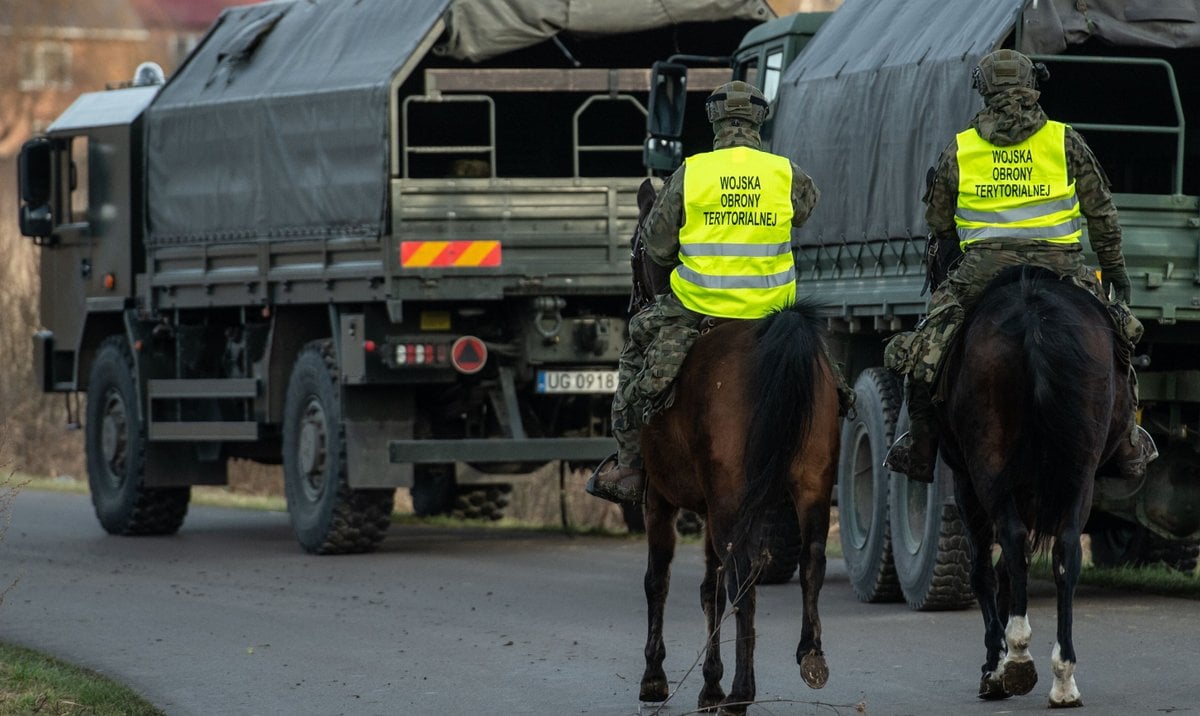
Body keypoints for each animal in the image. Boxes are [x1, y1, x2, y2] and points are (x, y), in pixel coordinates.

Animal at [633, 177, 840, 710]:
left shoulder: (659, 498)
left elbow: (659, 580)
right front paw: (709, 682)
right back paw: (810, 655)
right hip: (808, 484)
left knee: (744, 576)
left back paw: (743, 692)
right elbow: (710, 587)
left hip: (729, 500)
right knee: (809, 560)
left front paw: (656, 677)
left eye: (635, 247)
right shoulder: (710, 508)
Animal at [936, 262, 1123, 705]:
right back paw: (1063, 677)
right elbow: (1006, 570)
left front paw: (994, 664)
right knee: (1066, 551)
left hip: (987, 468)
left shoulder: (965, 483)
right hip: (1079, 473)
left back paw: (1019, 656)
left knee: (1014, 543)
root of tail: (1033, 314)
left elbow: (986, 571)